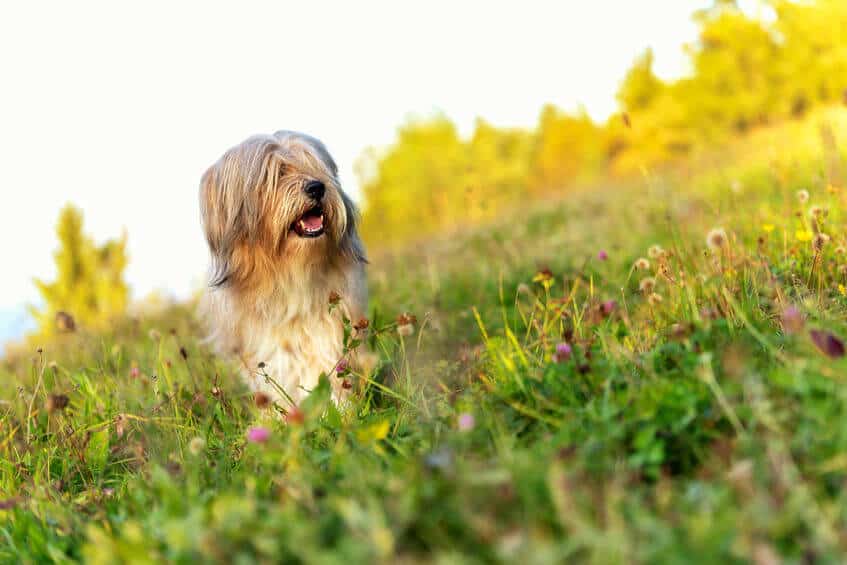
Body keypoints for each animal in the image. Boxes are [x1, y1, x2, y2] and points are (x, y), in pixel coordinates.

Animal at [202, 132, 372, 406]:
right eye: (278, 172)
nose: (317, 188)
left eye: (312, 164)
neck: (289, 271)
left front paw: (339, 407)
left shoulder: (329, 322)